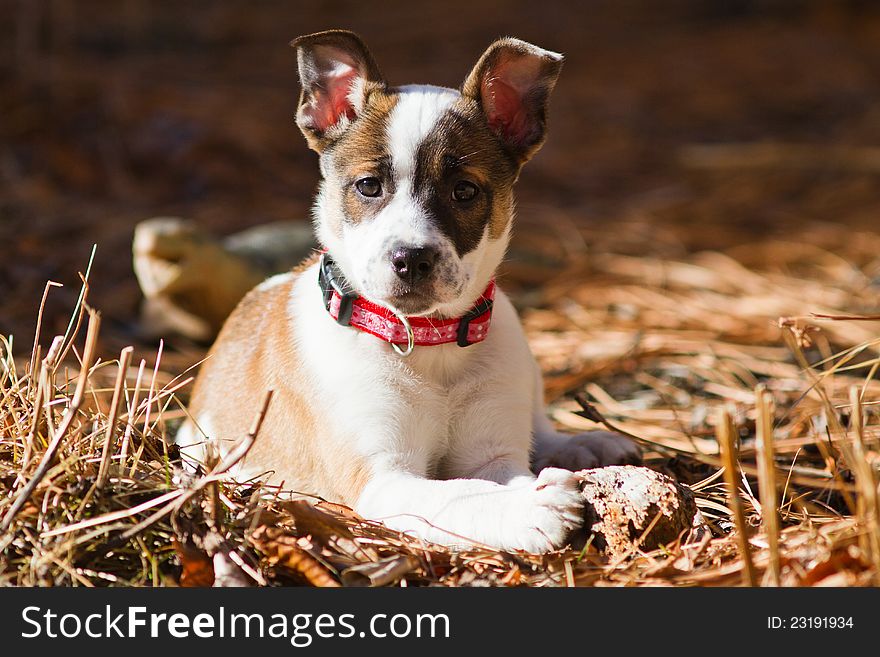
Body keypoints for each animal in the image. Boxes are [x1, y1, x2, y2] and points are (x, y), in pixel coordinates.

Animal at [177, 32, 640, 552]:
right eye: (368, 186)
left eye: (464, 191)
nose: (412, 259)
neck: (428, 342)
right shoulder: (385, 477)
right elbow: (460, 493)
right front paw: (530, 508)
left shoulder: (493, 456)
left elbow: (485, 477)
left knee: (540, 423)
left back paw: (585, 442)